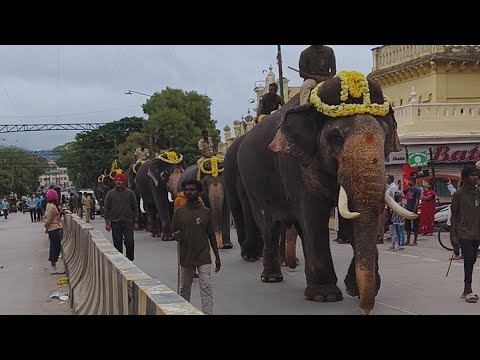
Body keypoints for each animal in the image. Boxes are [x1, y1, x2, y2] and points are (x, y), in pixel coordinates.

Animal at [225, 71, 416, 316]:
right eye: (336, 138)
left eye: (384, 136)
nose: (365, 310)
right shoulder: (295, 164)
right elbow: (313, 215)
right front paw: (325, 296)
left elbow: (349, 218)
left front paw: (354, 289)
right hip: (252, 185)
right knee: (269, 226)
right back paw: (270, 276)